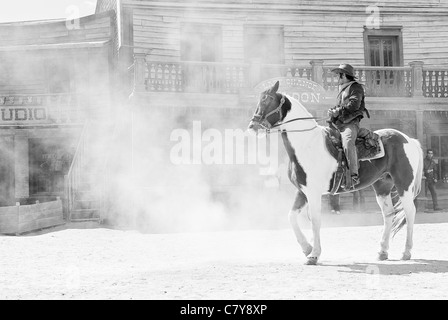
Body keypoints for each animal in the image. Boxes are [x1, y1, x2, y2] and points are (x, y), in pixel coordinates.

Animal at [248, 80, 424, 264]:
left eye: (267, 100)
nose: (253, 126)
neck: (307, 143)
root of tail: (408, 139)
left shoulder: (313, 192)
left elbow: (315, 220)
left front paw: (314, 254)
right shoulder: (302, 191)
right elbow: (292, 217)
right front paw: (307, 248)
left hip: (404, 184)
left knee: (409, 212)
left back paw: (406, 251)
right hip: (382, 186)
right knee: (388, 214)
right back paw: (382, 251)